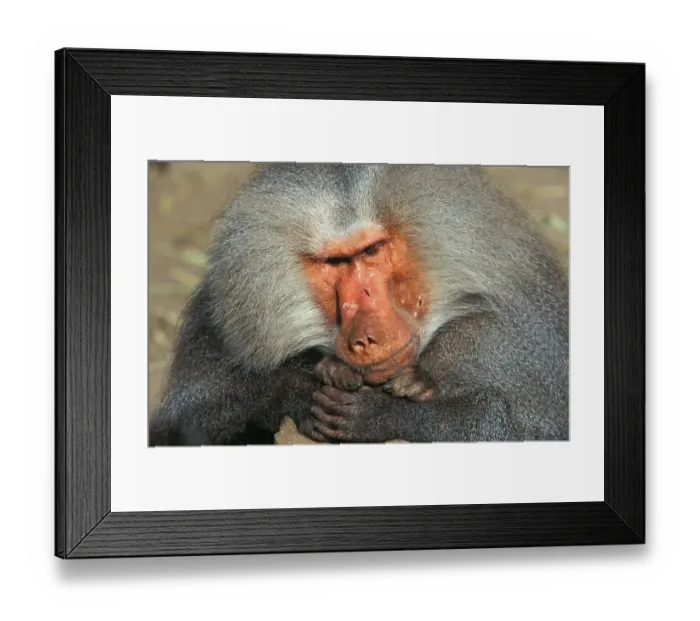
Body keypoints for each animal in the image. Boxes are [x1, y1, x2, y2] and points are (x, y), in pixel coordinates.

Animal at [148, 163, 569, 446]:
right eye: (335, 263)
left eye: (372, 250)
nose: (367, 337)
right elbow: (182, 427)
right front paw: (301, 388)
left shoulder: (505, 338)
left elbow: (525, 429)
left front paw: (383, 414)